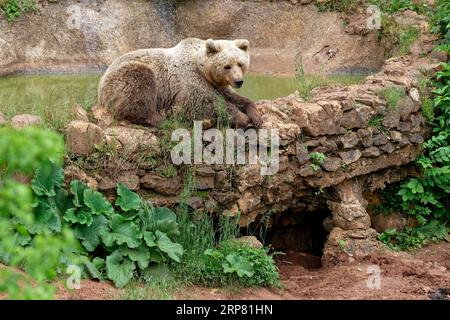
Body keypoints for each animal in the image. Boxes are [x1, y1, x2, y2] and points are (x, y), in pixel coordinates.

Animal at [96, 37, 262, 127]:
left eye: (240, 63)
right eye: (227, 66)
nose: (239, 81)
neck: (201, 68)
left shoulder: (217, 85)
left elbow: (233, 97)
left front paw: (255, 116)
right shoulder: (188, 79)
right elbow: (201, 103)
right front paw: (242, 118)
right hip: (122, 77)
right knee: (140, 83)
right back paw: (160, 118)